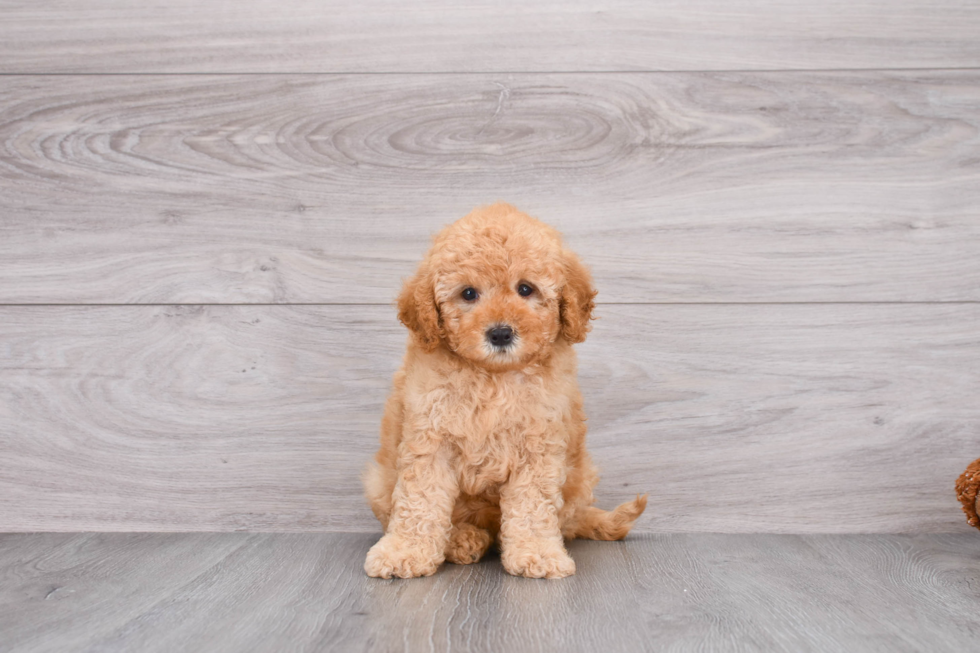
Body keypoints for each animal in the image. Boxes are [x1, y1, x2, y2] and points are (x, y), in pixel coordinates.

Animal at [364, 201, 648, 580]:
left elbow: (532, 506)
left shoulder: (538, 446)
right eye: (468, 293)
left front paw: (538, 554)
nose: (500, 333)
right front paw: (404, 552)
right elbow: (420, 500)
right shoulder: (430, 439)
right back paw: (463, 540)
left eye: (526, 289)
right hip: (378, 480)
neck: (492, 377)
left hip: (581, 477)